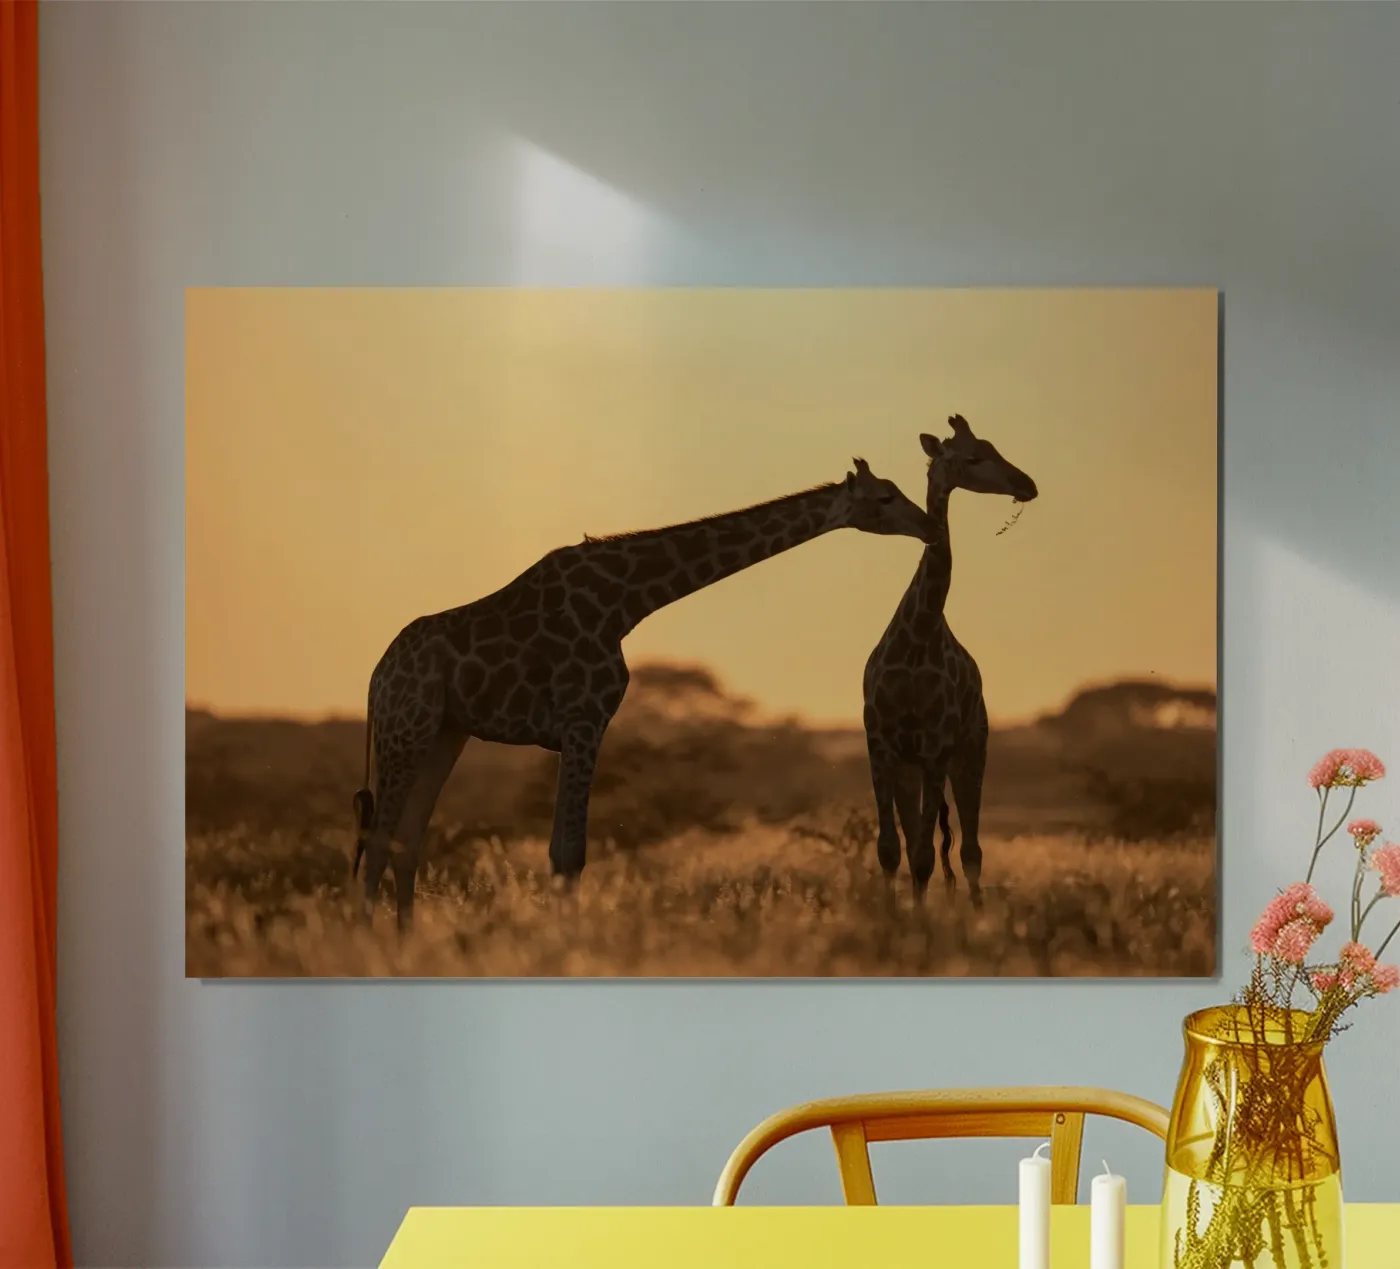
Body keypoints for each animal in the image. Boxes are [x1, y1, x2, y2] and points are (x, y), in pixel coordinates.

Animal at [351, 459, 929, 930]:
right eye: (885, 497)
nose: (926, 524)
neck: (628, 600)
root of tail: (377, 677)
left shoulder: (579, 726)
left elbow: (564, 852)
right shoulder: (584, 719)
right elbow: (568, 853)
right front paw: (564, 944)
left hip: (445, 732)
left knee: (404, 840)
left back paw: (405, 941)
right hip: (408, 727)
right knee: (377, 839)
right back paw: (370, 942)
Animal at [862, 414, 1038, 907]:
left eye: (993, 447)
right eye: (974, 456)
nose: (1028, 484)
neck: (917, 637)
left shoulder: (936, 747)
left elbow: (925, 857)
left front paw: (921, 922)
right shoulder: (881, 744)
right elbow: (891, 850)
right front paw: (892, 917)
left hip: (972, 750)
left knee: (971, 850)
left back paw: (976, 915)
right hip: (913, 766)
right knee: (921, 846)